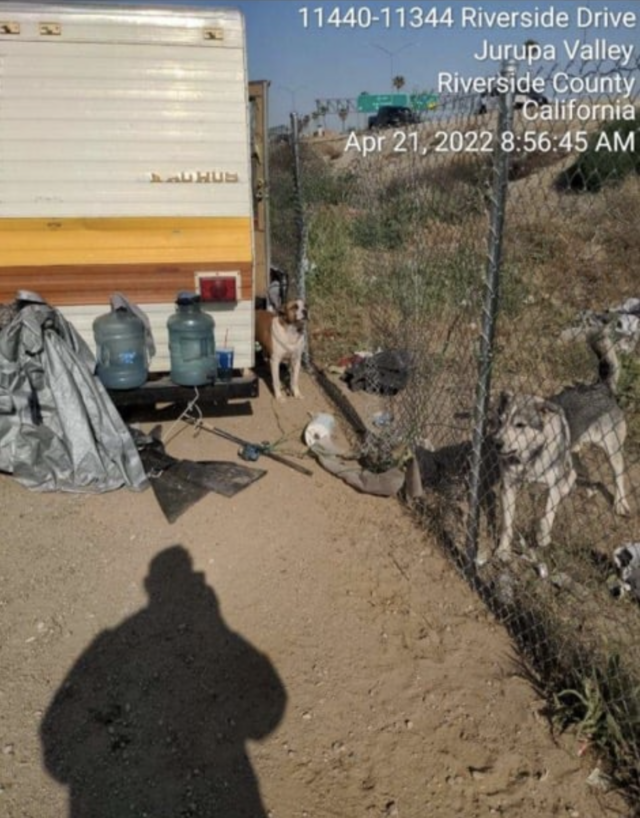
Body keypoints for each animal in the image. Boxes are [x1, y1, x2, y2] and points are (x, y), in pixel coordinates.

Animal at [490, 330, 632, 560]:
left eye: (520, 425)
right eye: (500, 421)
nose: (496, 443)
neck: (530, 456)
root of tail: (600, 386)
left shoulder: (551, 484)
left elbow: (547, 514)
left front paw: (543, 537)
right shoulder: (508, 487)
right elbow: (507, 524)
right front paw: (503, 549)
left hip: (612, 449)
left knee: (617, 473)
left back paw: (620, 503)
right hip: (570, 451)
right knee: (574, 472)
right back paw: (575, 487)